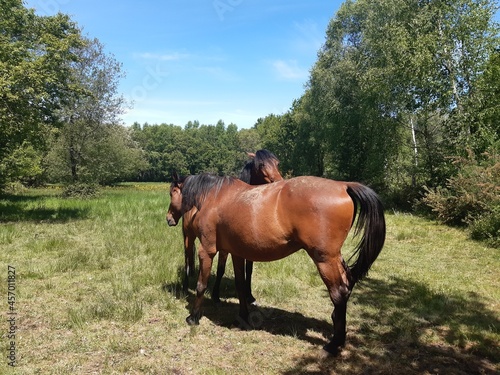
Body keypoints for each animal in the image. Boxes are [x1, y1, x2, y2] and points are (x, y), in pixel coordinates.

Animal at [166, 173, 384, 356]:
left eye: (172, 192)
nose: (168, 218)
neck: (214, 197)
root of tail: (343, 185)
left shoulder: (207, 251)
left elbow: (201, 285)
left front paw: (194, 317)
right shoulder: (237, 254)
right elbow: (240, 285)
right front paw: (243, 316)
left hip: (324, 259)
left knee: (338, 292)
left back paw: (333, 344)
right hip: (334, 258)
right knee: (347, 285)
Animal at [175, 151, 282, 306]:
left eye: (277, 163)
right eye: (261, 164)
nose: (279, 181)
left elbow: (248, 270)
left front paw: (250, 296)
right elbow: (222, 269)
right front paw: (216, 294)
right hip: (188, 235)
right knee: (187, 257)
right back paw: (185, 286)